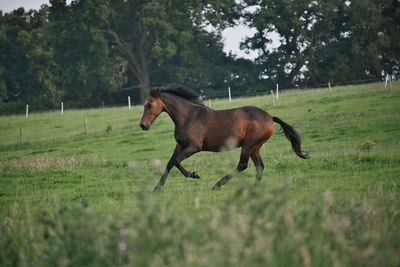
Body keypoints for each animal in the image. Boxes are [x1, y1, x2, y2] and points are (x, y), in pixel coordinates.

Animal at [139, 85, 308, 192]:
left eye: (149, 105)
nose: (143, 125)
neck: (187, 116)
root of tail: (270, 117)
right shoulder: (180, 145)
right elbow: (170, 163)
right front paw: (156, 188)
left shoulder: (194, 147)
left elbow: (176, 161)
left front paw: (194, 174)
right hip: (255, 147)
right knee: (259, 166)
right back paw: (254, 188)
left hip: (248, 145)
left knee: (242, 165)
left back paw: (217, 185)